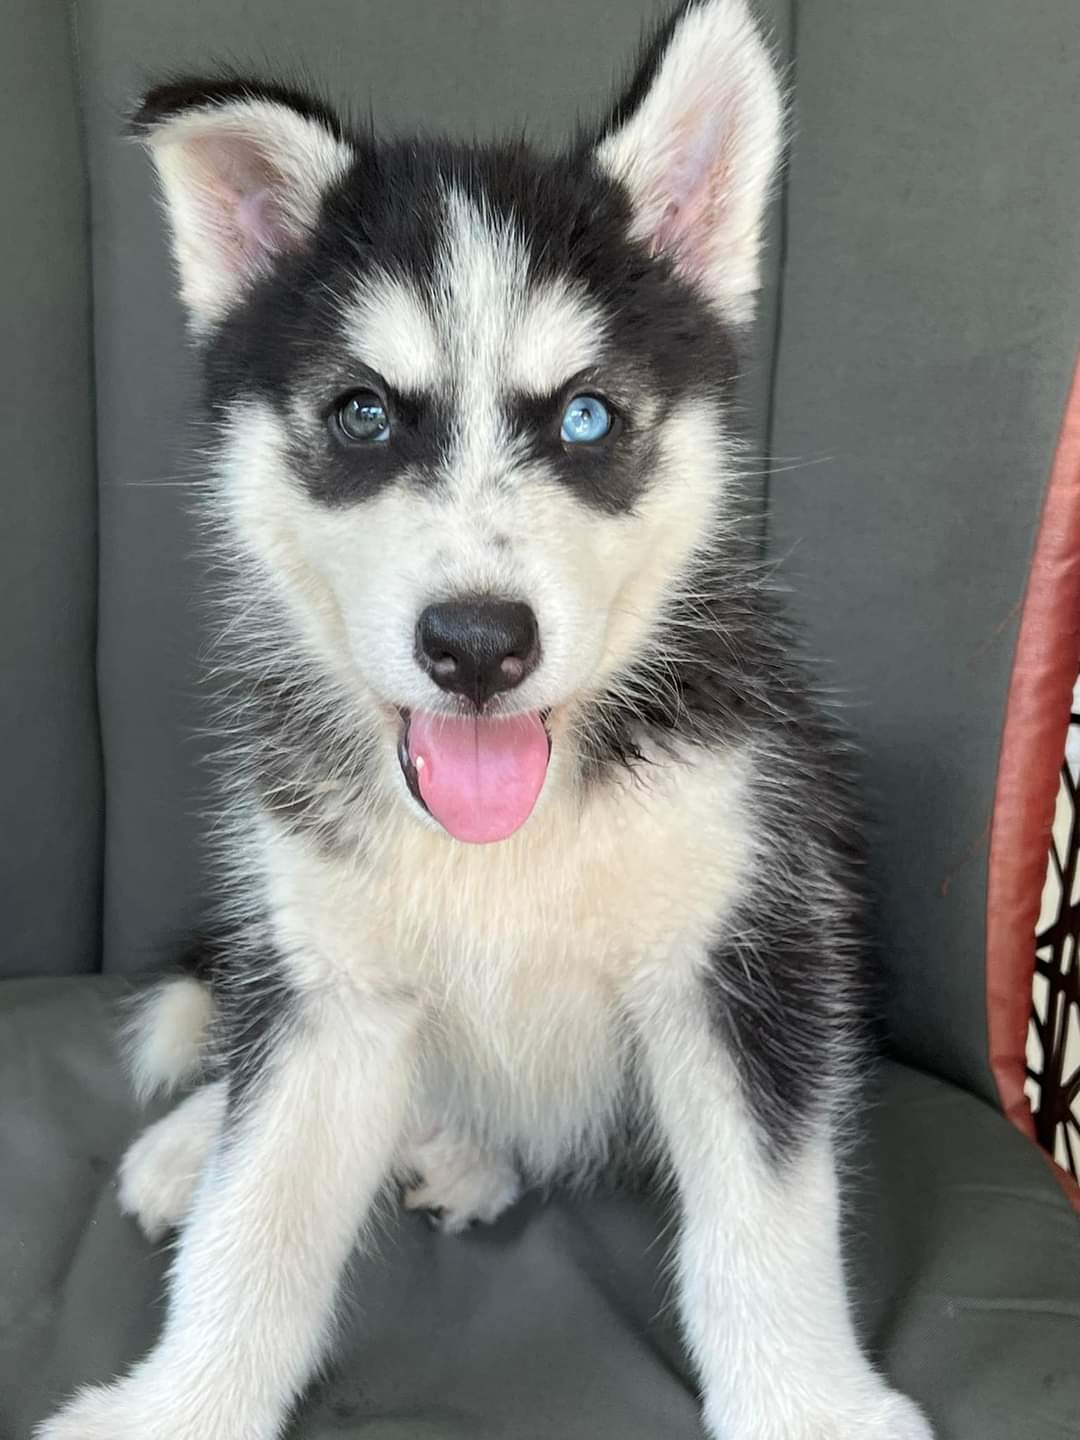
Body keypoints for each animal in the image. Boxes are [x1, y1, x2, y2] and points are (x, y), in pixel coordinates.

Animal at [38, 8, 933, 1440]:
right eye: (362, 413)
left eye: (586, 416)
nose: (473, 645)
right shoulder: (334, 991)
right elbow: (257, 1217)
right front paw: (177, 1404)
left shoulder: (751, 942)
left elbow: (765, 1223)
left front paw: (808, 1407)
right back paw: (195, 1142)